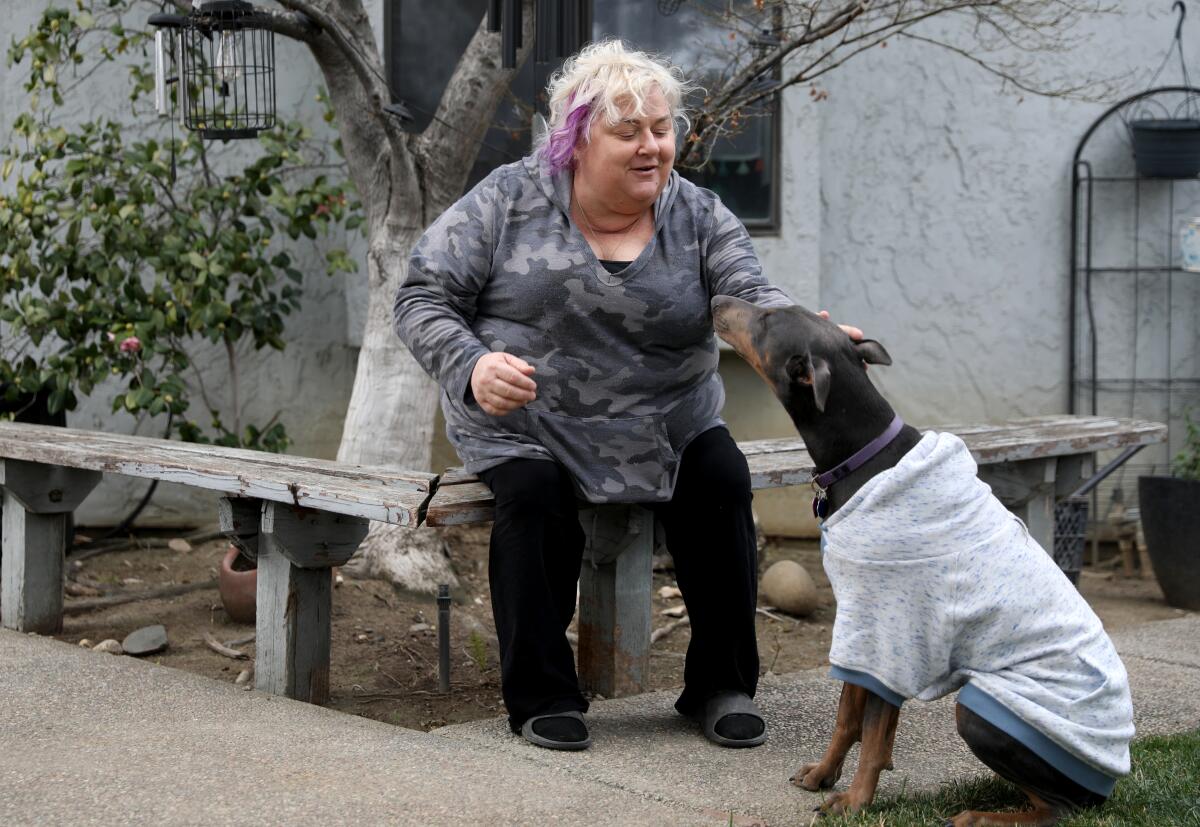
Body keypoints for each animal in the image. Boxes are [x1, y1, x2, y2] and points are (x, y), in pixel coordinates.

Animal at [710, 296, 1132, 825]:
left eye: (768, 318)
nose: (715, 300)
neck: (864, 455)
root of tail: (1110, 781)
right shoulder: (864, 623)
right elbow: (851, 717)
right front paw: (824, 775)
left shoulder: (886, 632)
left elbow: (871, 730)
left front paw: (855, 801)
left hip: (982, 713)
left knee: (1058, 809)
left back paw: (982, 816)